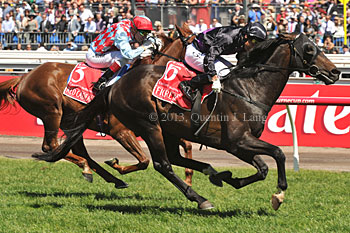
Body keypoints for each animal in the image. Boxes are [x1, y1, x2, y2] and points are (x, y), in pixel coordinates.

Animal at [0, 24, 196, 187]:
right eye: (198, 45)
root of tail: (24, 77)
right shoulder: (121, 131)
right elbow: (144, 161)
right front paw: (117, 165)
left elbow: (187, 144)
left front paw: (188, 177)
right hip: (52, 112)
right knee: (52, 147)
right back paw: (89, 167)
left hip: (69, 121)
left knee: (75, 150)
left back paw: (103, 175)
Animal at [33, 33, 340, 210]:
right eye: (309, 49)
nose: (335, 72)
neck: (248, 88)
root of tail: (114, 85)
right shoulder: (237, 141)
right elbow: (277, 154)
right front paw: (278, 196)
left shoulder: (239, 144)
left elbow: (263, 167)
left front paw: (232, 179)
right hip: (149, 125)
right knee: (163, 164)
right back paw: (200, 199)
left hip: (168, 128)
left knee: (174, 158)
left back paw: (213, 173)